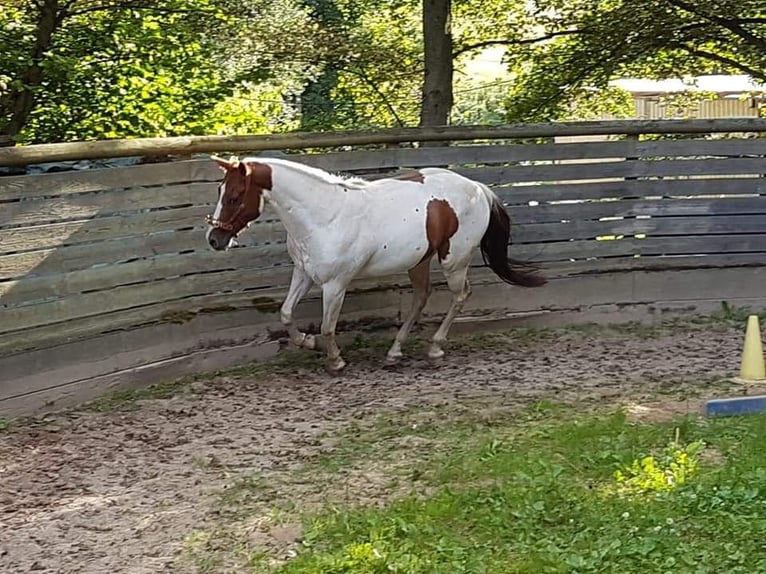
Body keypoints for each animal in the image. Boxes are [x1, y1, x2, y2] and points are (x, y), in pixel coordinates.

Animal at [205, 155, 546, 372]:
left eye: (235, 196)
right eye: (220, 190)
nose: (214, 239)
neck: (324, 215)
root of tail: (478, 188)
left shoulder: (335, 284)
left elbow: (328, 326)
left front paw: (335, 361)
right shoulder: (304, 273)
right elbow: (286, 313)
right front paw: (307, 342)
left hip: (454, 260)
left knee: (460, 296)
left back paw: (435, 348)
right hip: (419, 260)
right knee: (421, 298)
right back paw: (394, 353)